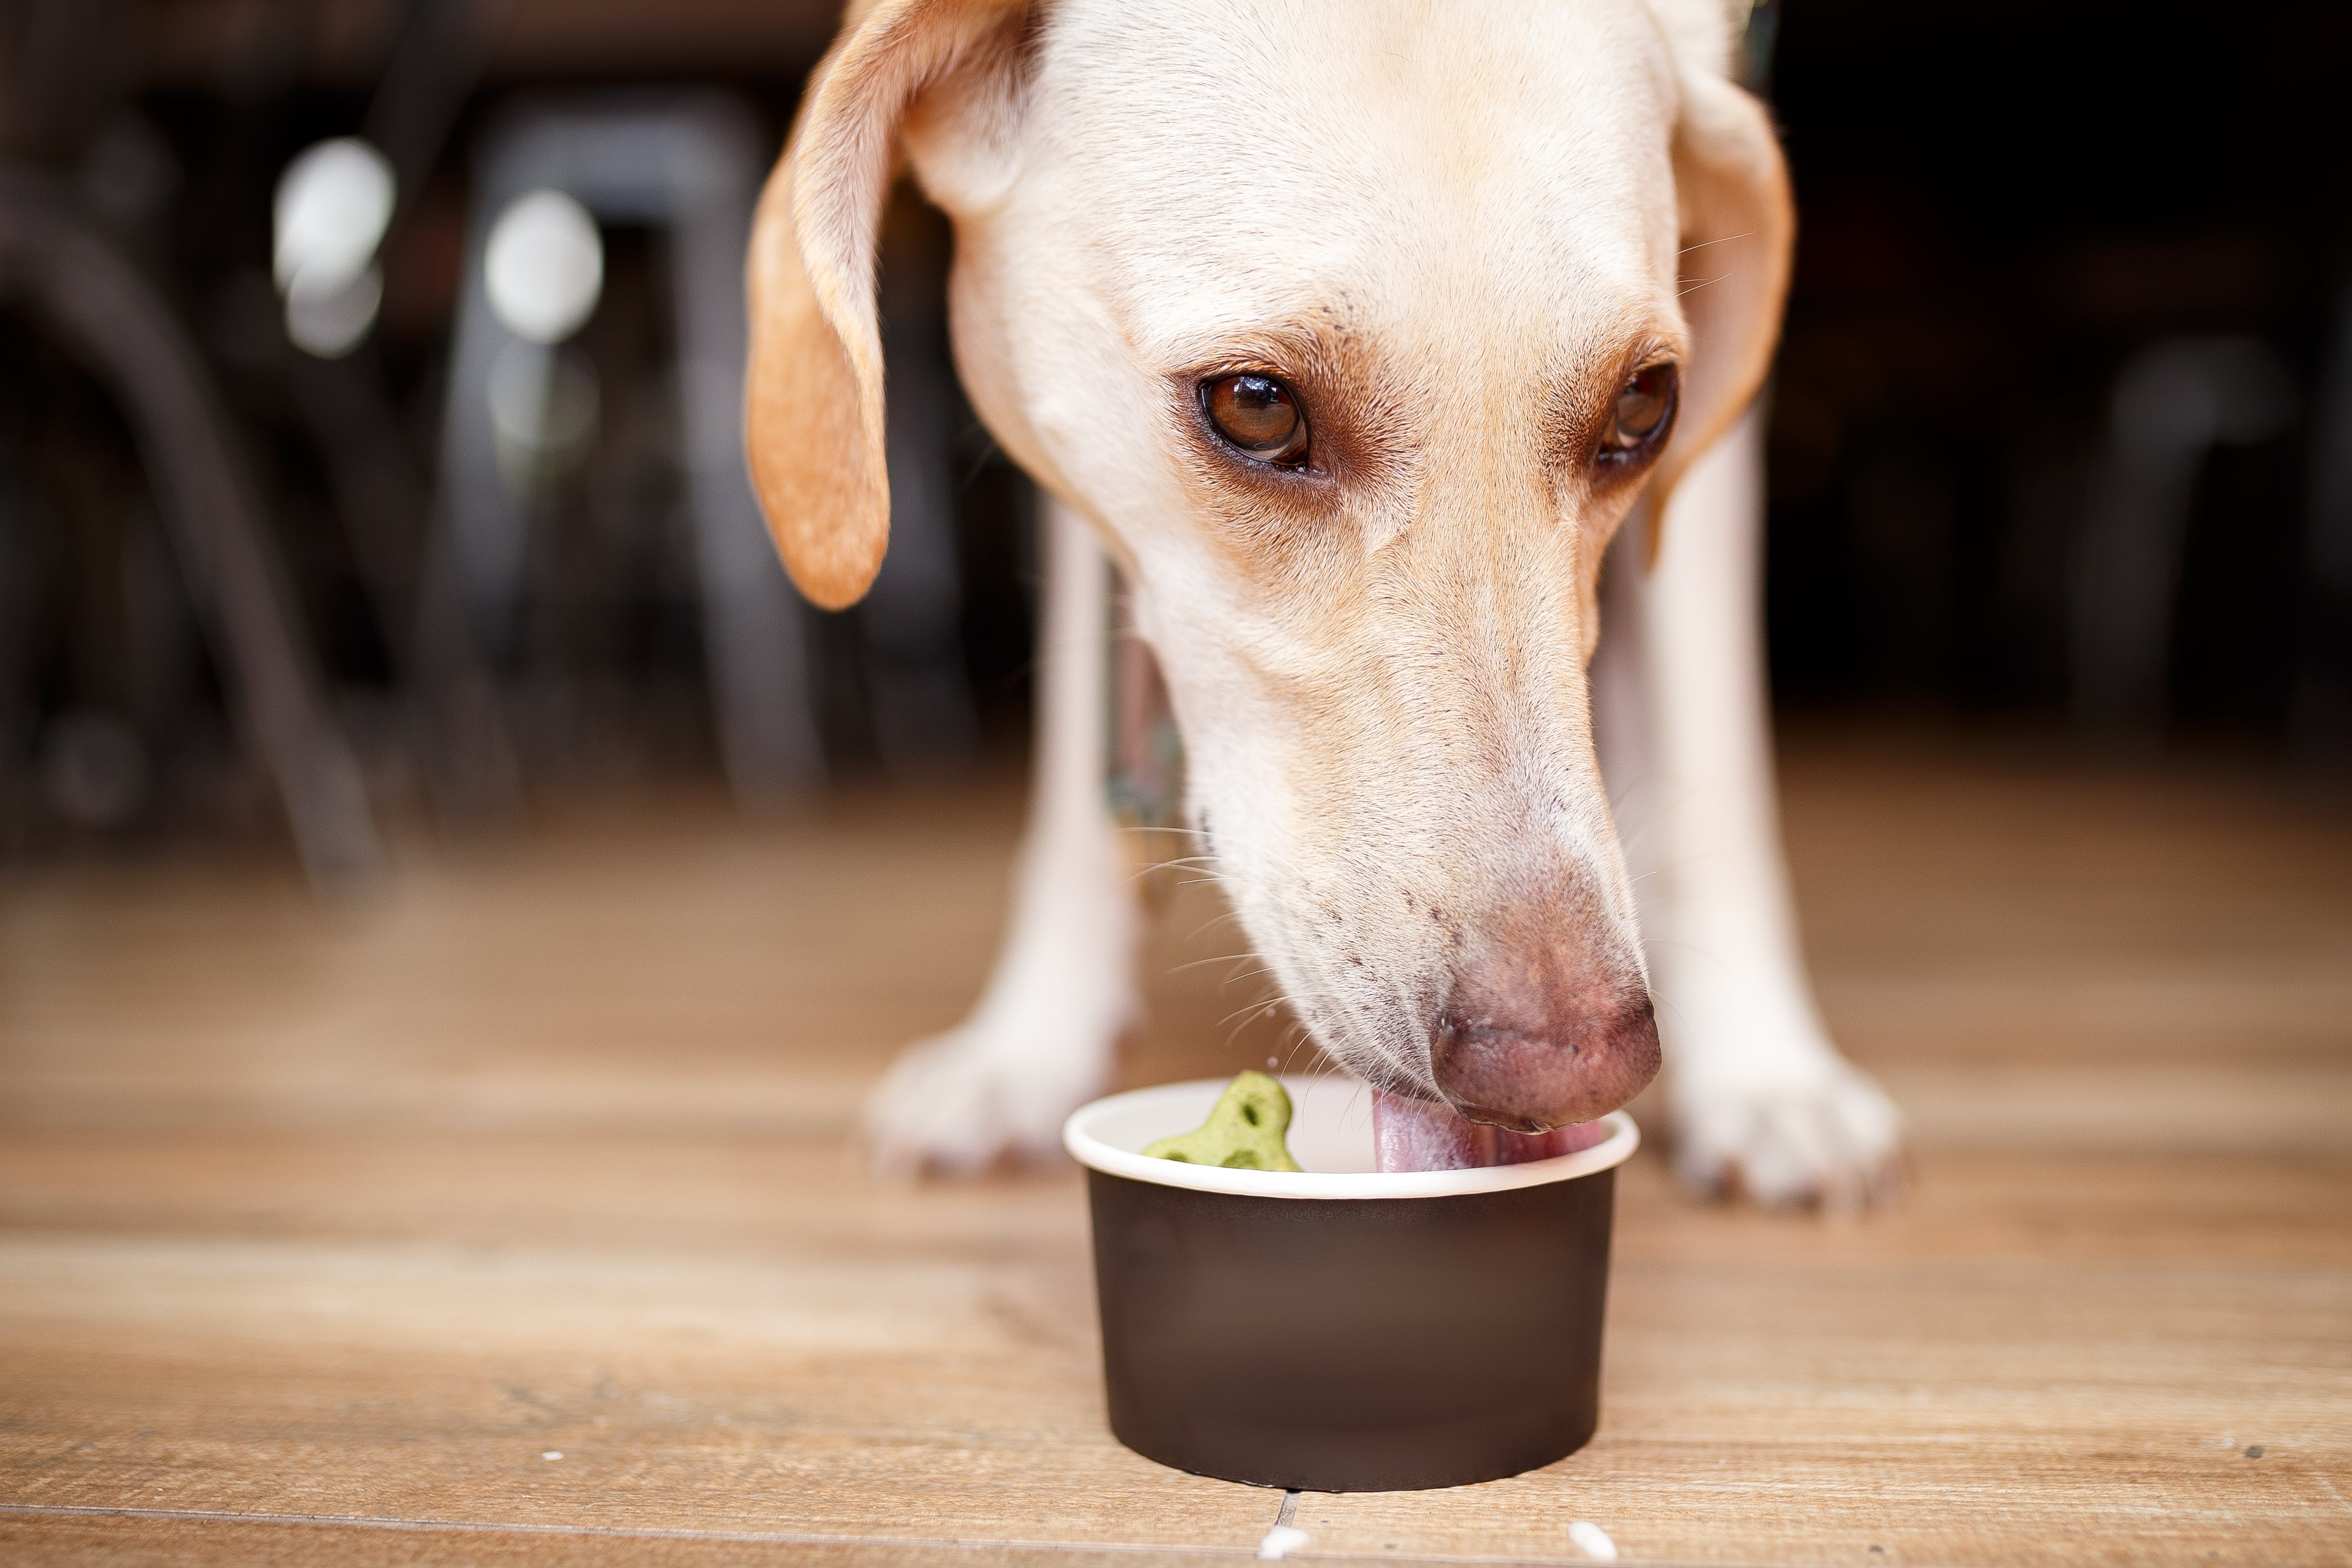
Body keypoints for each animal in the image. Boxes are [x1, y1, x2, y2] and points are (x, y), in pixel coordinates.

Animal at [743, 0, 1900, 1213]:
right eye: (1254, 406)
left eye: (1643, 406)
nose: (1569, 1066)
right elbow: (1075, 777)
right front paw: (1030, 1044)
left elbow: (1716, 763)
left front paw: (1767, 1073)